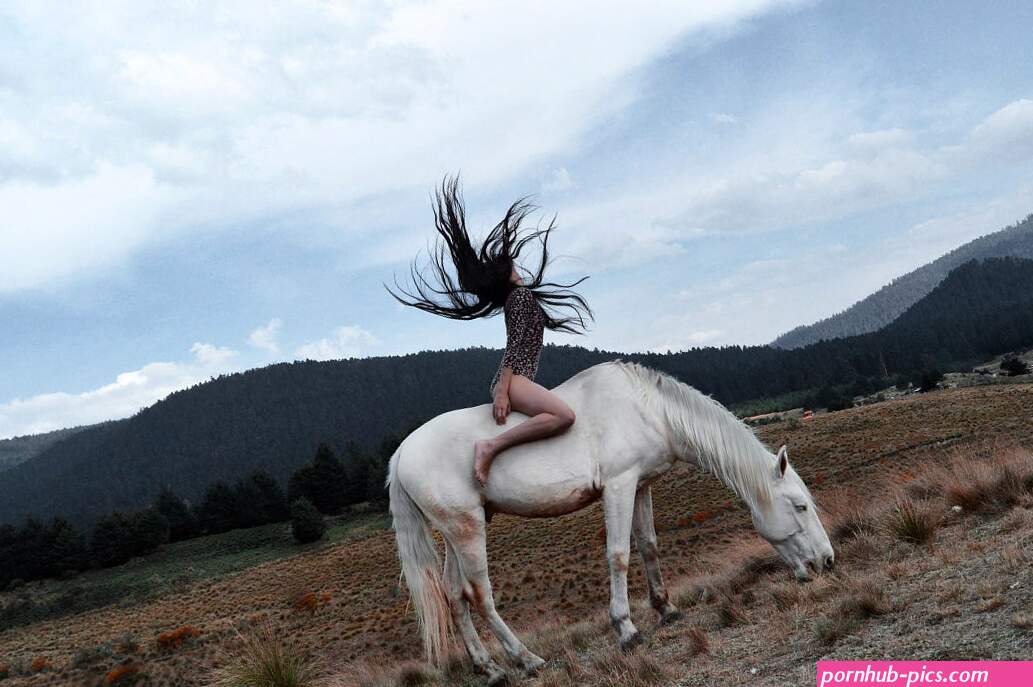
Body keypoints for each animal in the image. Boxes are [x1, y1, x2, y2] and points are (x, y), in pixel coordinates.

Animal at [387, 360, 833, 684]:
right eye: (800, 506)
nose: (826, 562)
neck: (648, 409)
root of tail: (402, 452)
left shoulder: (642, 486)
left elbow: (649, 545)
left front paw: (667, 609)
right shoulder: (619, 485)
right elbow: (618, 555)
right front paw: (627, 629)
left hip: (455, 532)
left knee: (454, 596)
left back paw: (492, 670)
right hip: (468, 531)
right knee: (480, 595)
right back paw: (528, 660)